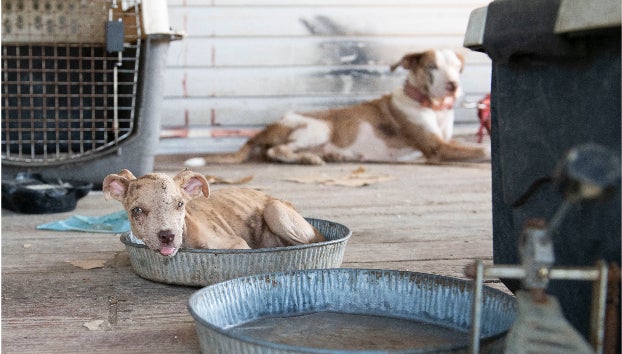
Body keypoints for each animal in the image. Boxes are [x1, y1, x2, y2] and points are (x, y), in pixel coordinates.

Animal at [188, 48, 490, 166]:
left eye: (457, 67)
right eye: (431, 67)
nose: (453, 85)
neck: (432, 106)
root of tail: (267, 127)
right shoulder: (436, 147)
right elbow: (483, 149)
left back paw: (332, 155)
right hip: (319, 127)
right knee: (276, 151)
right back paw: (309, 159)